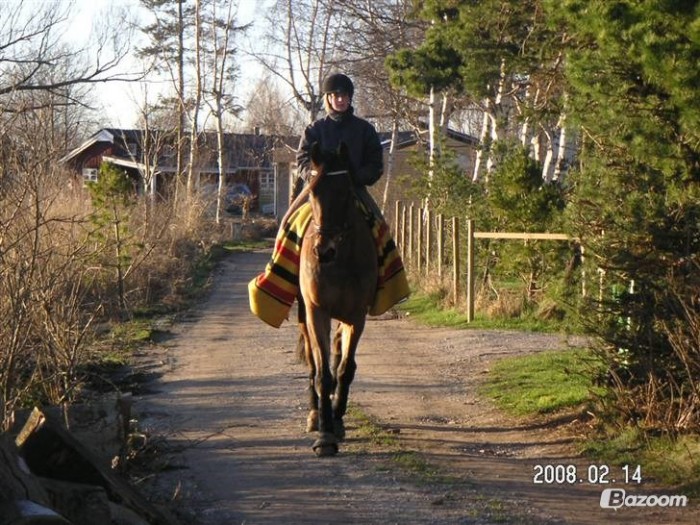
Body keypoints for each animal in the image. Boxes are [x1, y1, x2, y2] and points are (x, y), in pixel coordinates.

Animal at [298, 141, 380, 456]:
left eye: (346, 192)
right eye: (312, 191)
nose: (324, 251)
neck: (341, 260)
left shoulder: (356, 315)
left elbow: (344, 369)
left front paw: (337, 417)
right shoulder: (316, 312)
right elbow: (323, 374)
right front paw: (325, 435)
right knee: (312, 364)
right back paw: (315, 415)